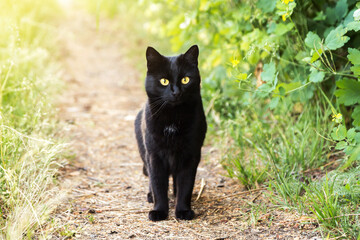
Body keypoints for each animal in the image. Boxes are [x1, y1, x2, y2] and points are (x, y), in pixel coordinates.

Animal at [135, 45, 207, 221]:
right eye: (164, 81)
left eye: (185, 80)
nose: (176, 92)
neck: (173, 119)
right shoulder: (154, 155)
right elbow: (158, 184)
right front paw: (159, 211)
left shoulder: (191, 154)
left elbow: (186, 184)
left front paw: (183, 211)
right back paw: (150, 196)